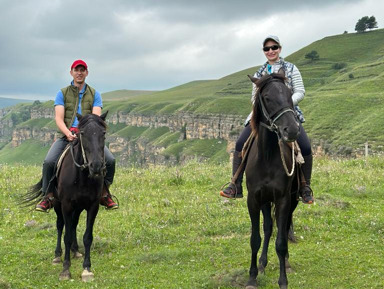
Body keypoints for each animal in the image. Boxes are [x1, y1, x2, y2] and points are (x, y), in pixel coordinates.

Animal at [23, 112, 108, 282]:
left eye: (103, 133)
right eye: (83, 133)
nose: (96, 166)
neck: (82, 176)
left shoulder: (93, 206)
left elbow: (88, 237)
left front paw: (87, 269)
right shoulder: (66, 205)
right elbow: (66, 236)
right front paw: (65, 269)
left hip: (78, 207)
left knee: (73, 224)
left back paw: (76, 251)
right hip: (57, 204)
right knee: (60, 225)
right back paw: (57, 255)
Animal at [244, 72, 302, 288]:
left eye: (289, 93)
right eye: (267, 98)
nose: (292, 130)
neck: (267, 156)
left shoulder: (284, 199)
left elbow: (281, 241)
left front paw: (283, 280)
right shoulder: (253, 199)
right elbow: (255, 238)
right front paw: (252, 277)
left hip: (292, 199)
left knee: (283, 229)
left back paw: (286, 262)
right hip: (265, 201)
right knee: (268, 227)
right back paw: (262, 263)